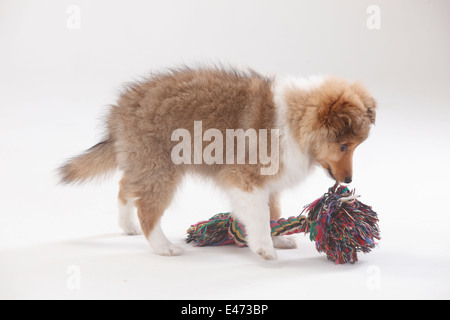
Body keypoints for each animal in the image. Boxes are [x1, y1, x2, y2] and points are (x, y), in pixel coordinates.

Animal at [59, 67, 376, 260]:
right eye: (344, 146)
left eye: (355, 147)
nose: (348, 181)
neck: (294, 120)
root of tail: (120, 111)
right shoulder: (245, 178)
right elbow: (259, 214)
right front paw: (264, 248)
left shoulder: (270, 181)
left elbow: (273, 210)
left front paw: (278, 238)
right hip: (161, 169)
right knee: (147, 209)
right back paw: (164, 247)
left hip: (143, 164)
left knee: (126, 188)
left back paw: (127, 227)